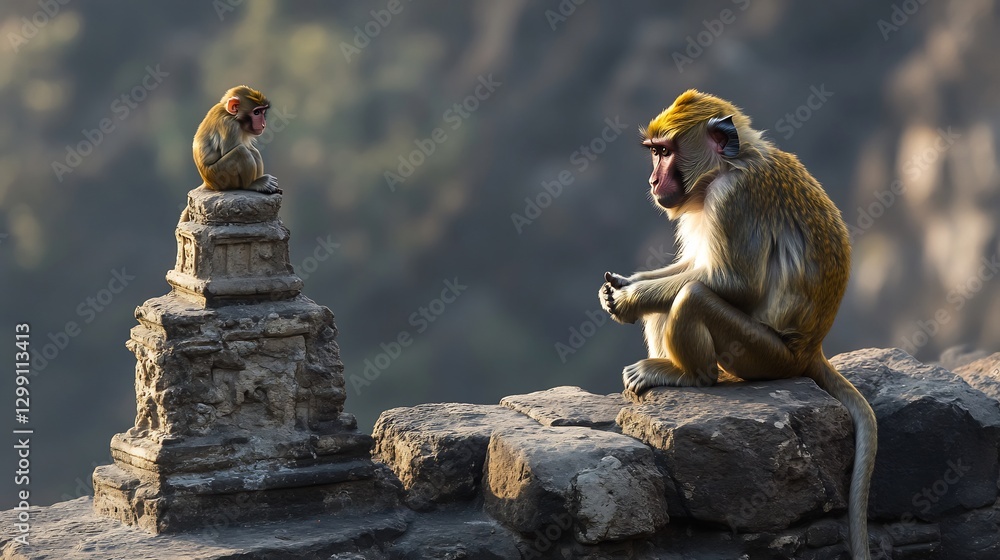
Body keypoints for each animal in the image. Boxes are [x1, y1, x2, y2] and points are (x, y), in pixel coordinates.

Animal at [599, 90, 876, 560]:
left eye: (664, 153)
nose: (653, 182)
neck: (726, 167)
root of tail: (811, 349)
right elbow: (693, 265)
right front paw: (624, 284)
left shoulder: (732, 199)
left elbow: (734, 284)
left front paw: (630, 298)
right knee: (680, 293)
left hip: (763, 354)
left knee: (692, 297)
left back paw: (690, 376)